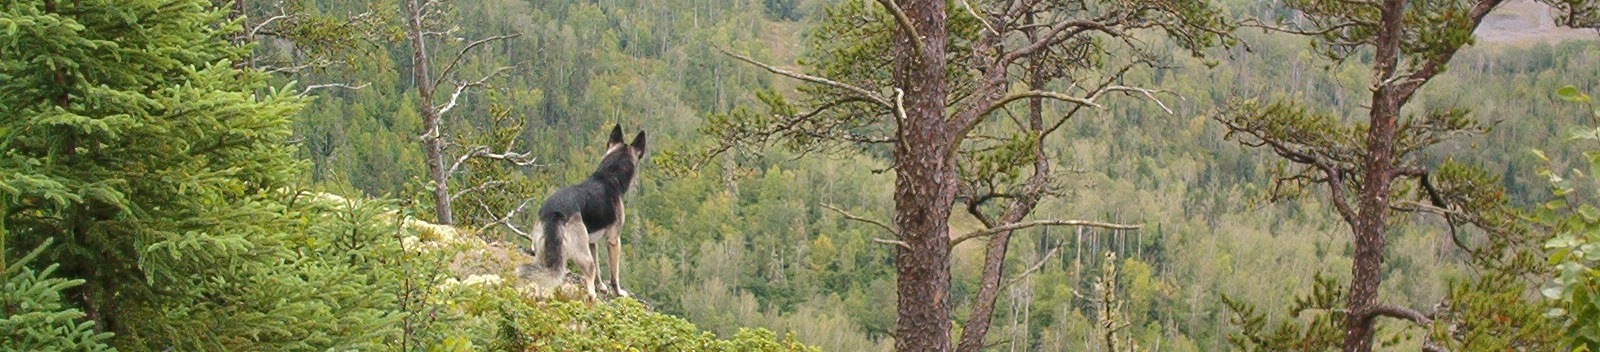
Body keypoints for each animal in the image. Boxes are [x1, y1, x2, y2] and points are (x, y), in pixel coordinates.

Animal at [521, 125, 640, 299]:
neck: (608, 176)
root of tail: (554, 212)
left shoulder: (591, 243)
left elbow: (598, 270)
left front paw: (601, 286)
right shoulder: (614, 241)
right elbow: (614, 275)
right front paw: (618, 292)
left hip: (541, 254)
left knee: (540, 280)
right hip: (581, 255)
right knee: (590, 283)